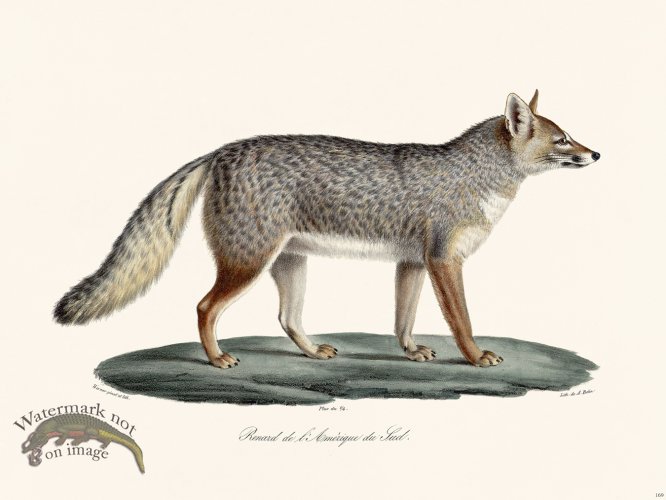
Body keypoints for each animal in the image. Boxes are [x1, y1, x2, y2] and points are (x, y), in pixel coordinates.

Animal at [54, 90, 600, 369]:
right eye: (563, 139)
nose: (596, 153)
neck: (472, 176)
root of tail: (221, 151)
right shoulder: (445, 260)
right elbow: (461, 320)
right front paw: (475, 356)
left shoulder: (413, 262)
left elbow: (403, 319)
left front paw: (411, 351)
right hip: (247, 263)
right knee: (205, 307)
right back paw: (217, 358)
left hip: (288, 264)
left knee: (286, 318)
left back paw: (314, 350)